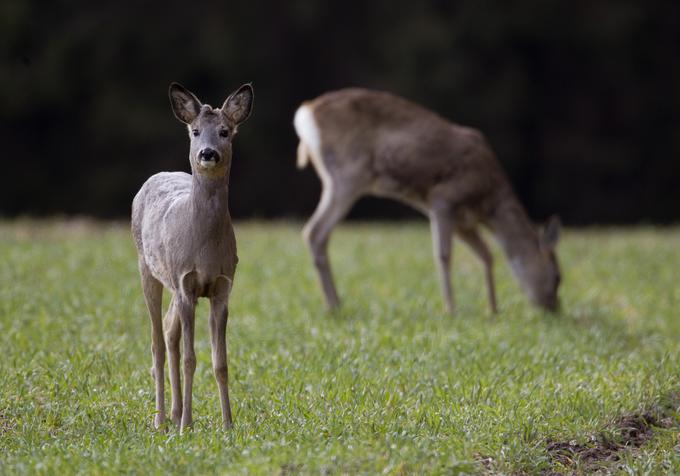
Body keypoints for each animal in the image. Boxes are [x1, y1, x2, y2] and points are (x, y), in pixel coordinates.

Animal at [131, 82, 254, 432]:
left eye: (225, 131)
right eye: (196, 131)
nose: (207, 153)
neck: (205, 249)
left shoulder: (222, 287)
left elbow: (220, 361)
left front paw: (228, 424)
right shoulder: (187, 284)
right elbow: (190, 359)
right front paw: (187, 424)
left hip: (173, 282)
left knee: (169, 330)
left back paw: (174, 413)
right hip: (148, 268)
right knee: (157, 342)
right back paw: (162, 418)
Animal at [294, 88, 560, 314]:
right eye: (558, 276)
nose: (553, 307)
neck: (489, 202)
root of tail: (306, 112)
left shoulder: (463, 223)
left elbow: (486, 255)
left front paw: (493, 309)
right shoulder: (443, 197)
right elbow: (443, 254)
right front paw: (451, 309)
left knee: (318, 234)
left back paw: (335, 303)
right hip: (348, 173)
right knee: (315, 232)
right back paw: (333, 305)